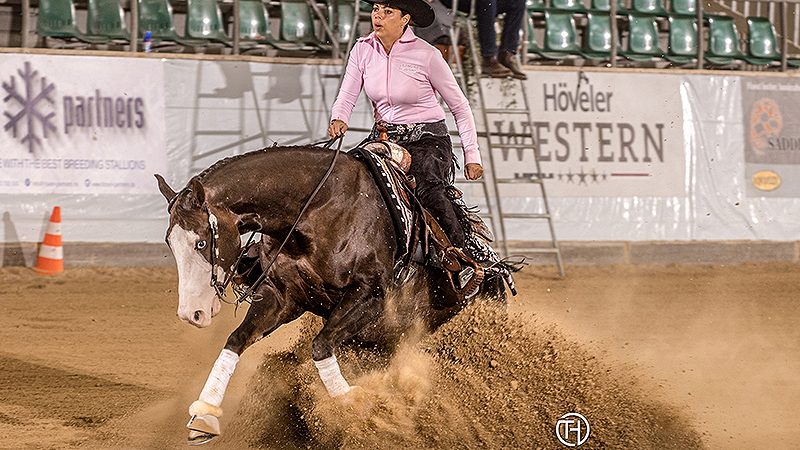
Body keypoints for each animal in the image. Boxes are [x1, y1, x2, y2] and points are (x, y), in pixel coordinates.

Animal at [153, 143, 510, 442]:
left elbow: (321, 345)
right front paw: (204, 416)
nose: (192, 314)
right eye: (170, 242)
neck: (317, 209)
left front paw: (354, 409)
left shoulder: (369, 297)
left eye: (201, 242)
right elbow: (236, 340)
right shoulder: (282, 297)